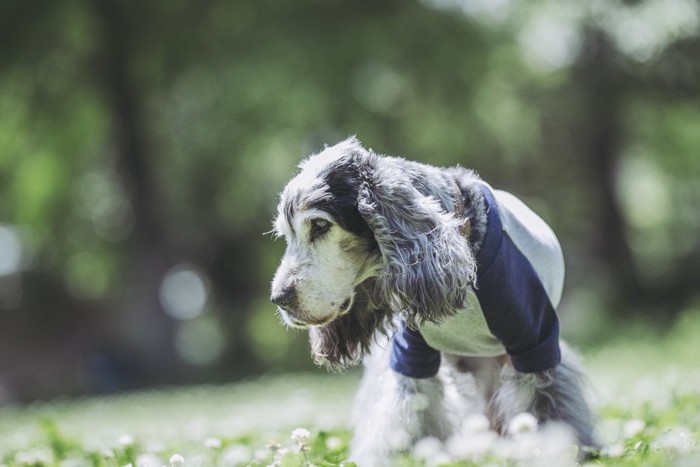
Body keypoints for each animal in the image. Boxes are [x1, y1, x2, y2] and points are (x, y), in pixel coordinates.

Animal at [268, 137, 596, 466]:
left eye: (320, 225)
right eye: (286, 235)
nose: (278, 298)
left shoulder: (535, 345)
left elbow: (545, 412)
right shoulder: (411, 354)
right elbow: (405, 413)